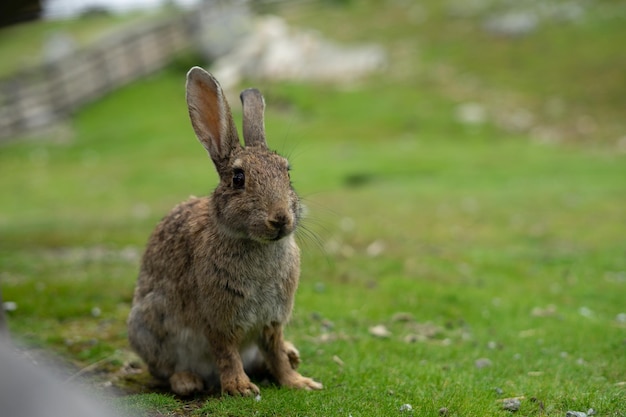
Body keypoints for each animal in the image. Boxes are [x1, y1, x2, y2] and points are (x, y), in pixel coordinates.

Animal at [127, 66, 322, 394]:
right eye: (238, 178)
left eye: (287, 173)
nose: (280, 218)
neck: (255, 244)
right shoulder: (218, 319)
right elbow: (227, 352)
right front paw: (241, 388)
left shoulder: (272, 321)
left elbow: (275, 351)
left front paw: (299, 383)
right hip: (149, 324)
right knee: (165, 369)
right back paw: (187, 381)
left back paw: (293, 355)